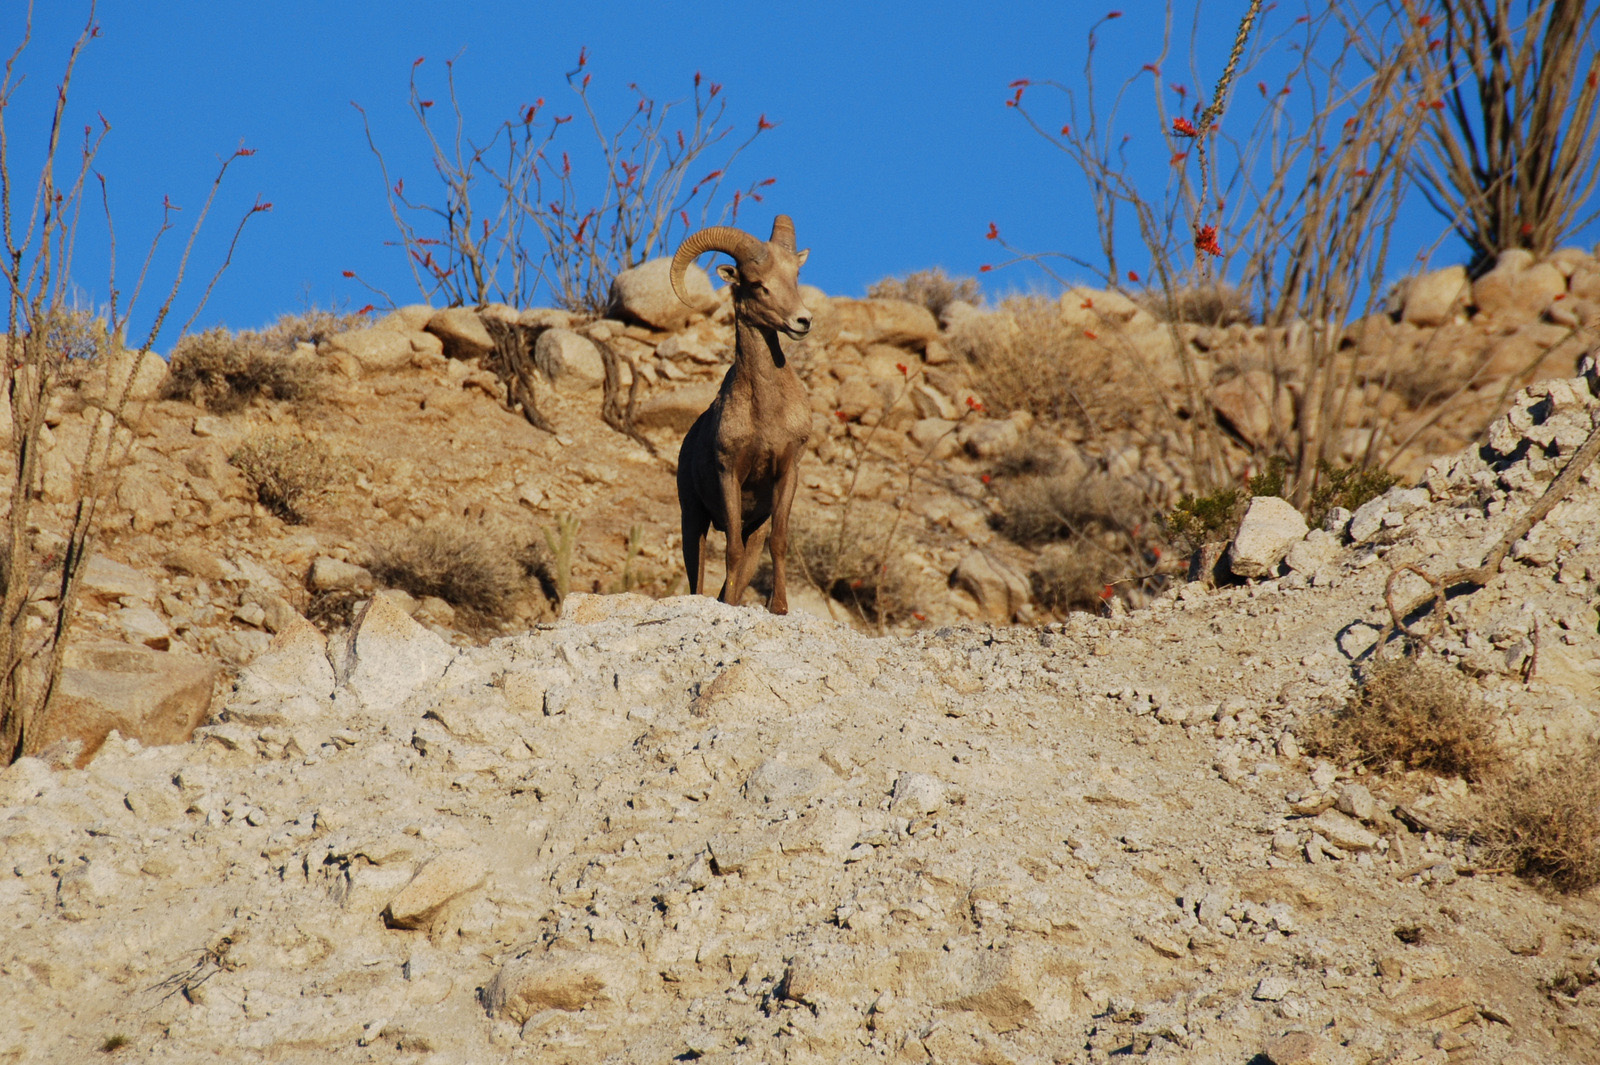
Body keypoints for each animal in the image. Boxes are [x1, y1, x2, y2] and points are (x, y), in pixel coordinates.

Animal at [670, 215, 814, 614]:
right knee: (697, 574)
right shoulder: (729, 473)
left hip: (752, 526)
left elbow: (778, 542)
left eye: (794, 277)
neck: (765, 414)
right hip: (693, 519)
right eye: (758, 285)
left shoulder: (787, 473)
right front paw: (732, 607)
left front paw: (779, 607)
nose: (803, 321)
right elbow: (730, 551)